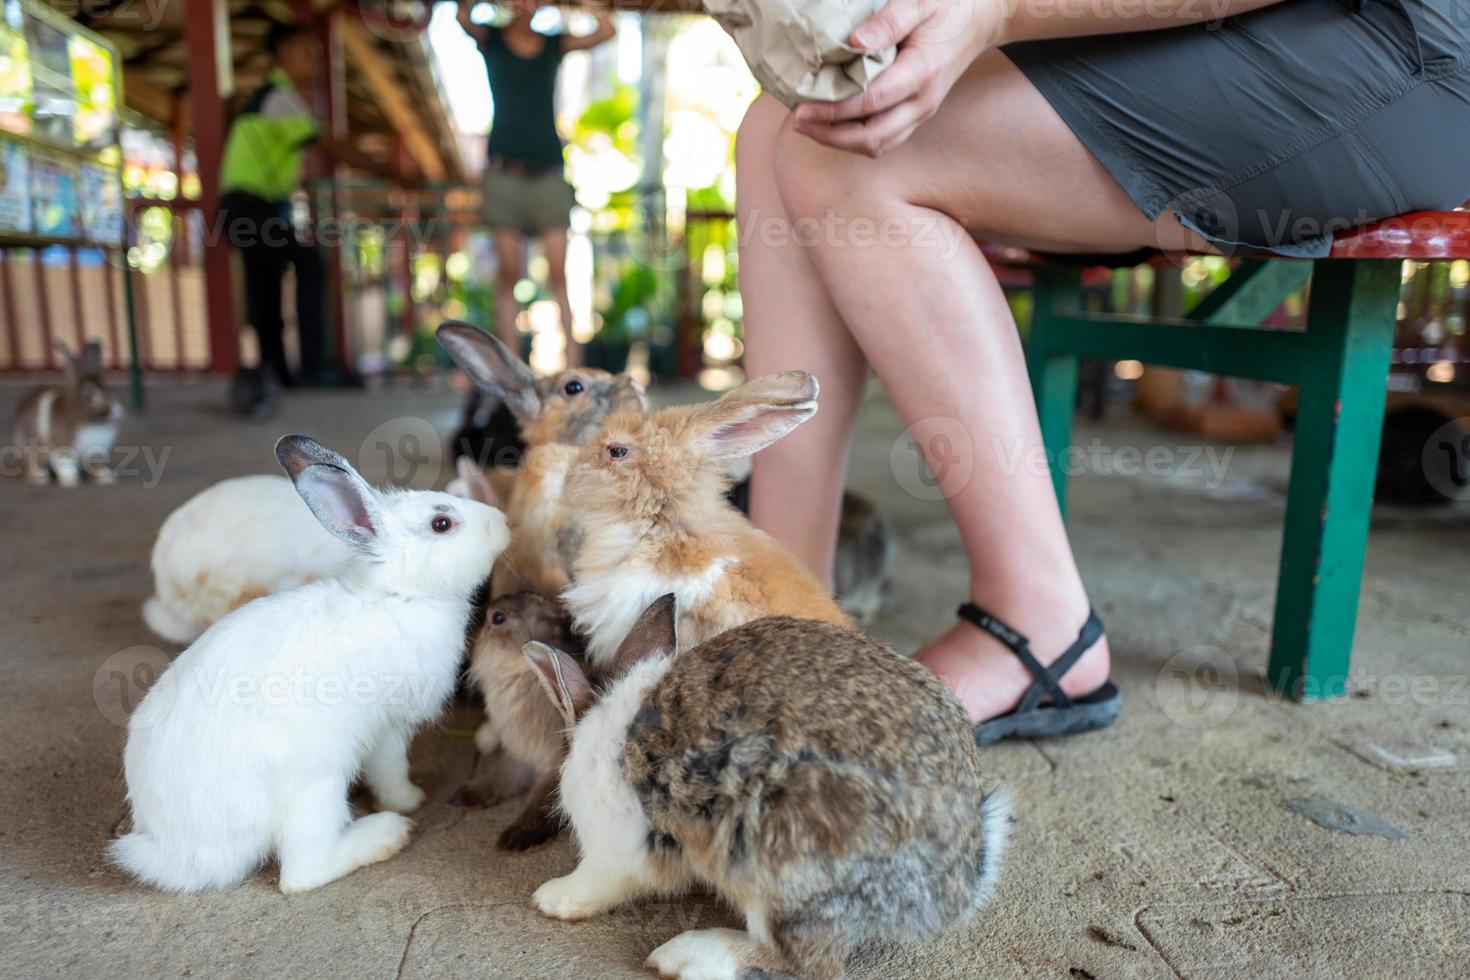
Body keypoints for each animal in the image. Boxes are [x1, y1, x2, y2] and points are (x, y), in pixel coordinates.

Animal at [11, 340, 122, 487]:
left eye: (108, 390)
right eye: (89, 396)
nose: (117, 414)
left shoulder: (96, 454)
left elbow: (97, 466)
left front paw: (106, 478)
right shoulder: (62, 450)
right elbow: (66, 465)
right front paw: (71, 482)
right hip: (30, 450)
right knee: (33, 465)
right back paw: (40, 478)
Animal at [110, 437, 511, 899]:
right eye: (442, 523)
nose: (503, 522)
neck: (398, 595)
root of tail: (178, 854)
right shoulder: (388, 727)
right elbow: (390, 769)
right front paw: (409, 800)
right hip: (315, 789)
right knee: (301, 872)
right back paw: (386, 833)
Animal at [449, 590, 588, 852]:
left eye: (498, 618)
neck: (524, 673)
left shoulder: (553, 766)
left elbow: (540, 803)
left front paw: (515, 838)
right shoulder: (519, 759)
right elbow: (499, 777)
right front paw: (464, 795)